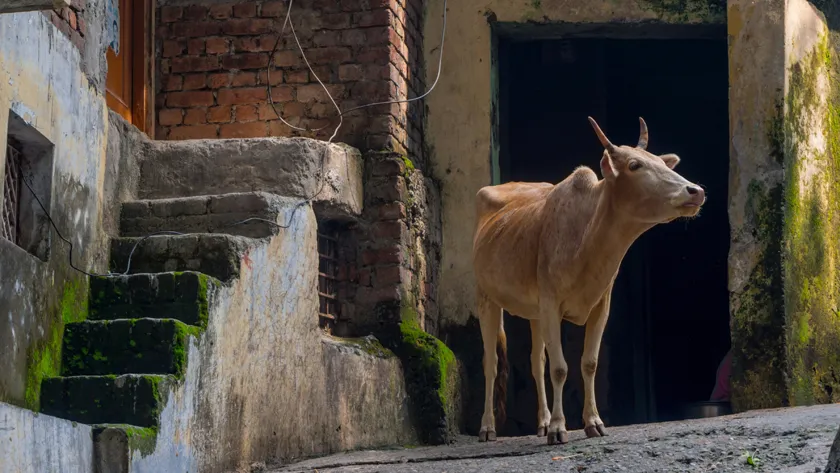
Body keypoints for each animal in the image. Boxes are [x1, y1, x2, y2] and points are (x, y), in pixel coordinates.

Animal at [472, 117, 705, 445]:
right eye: (634, 165)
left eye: (661, 162)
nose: (695, 191)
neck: (586, 237)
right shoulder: (551, 305)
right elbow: (560, 368)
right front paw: (559, 428)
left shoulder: (599, 305)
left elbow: (588, 363)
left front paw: (592, 422)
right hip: (486, 299)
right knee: (491, 364)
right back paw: (488, 428)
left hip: (533, 313)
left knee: (536, 361)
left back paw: (542, 422)